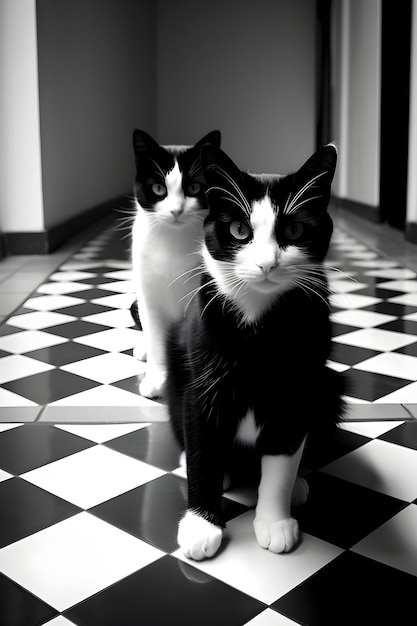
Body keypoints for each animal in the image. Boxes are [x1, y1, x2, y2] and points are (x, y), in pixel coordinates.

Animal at [130, 129, 221, 398]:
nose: (176, 210)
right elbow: (156, 337)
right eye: (159, 188)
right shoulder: (149, 296)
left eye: (194, 187)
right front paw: (156, 379)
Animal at [166, 143, 344, 560]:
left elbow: (282, 459)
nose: (266, 264)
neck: (257, 324)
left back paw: (299, 485)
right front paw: (201, 525)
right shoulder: (202, 384)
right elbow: (203, 450)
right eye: (239, 230)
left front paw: (275, 521)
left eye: (293, 230)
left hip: (329, 385)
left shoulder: (301, 386)